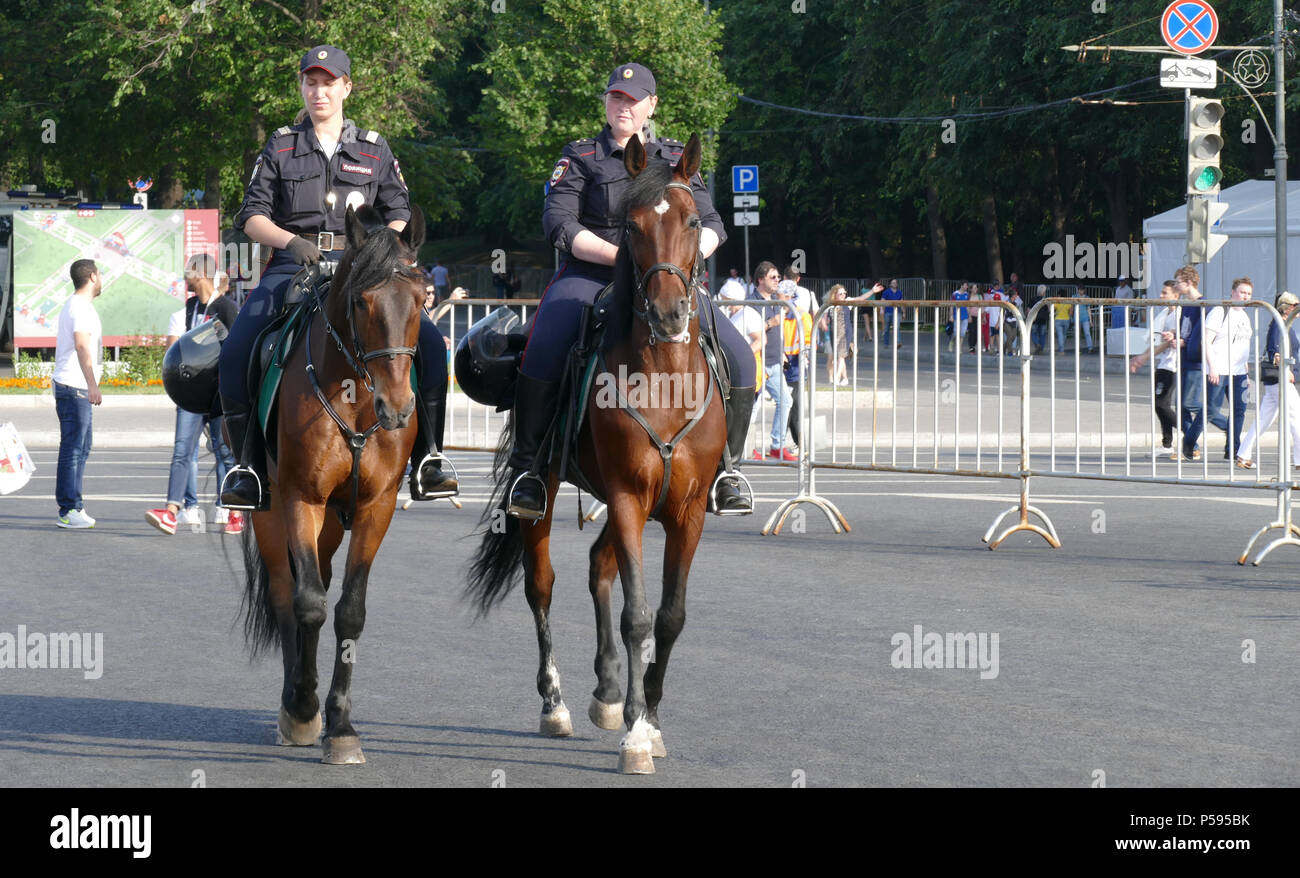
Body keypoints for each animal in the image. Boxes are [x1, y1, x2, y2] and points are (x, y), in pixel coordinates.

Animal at [239, 202, 426, 764]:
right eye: (362, 302)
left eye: (423, 298)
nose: (397, 407)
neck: (355, 397)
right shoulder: (301, 499)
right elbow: (307, 603)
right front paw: (304, 708)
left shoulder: (374, 507)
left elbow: (348, 611)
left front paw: (341, 724)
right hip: (271, 513)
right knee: (287, 594)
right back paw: (294, 703)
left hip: (333, 524)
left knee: (318, 581)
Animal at [470, 132, 733, 775]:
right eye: (631, 226)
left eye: (693, 221)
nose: (668, 313)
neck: (664, 379)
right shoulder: (628, 497)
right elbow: (637, 615)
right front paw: (636, 736)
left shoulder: (686, 510)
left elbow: (668, 616)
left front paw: (649, 718)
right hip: (547, 495)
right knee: (542, 584)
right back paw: (557, 704)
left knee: (597, 566)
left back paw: (610, 691)